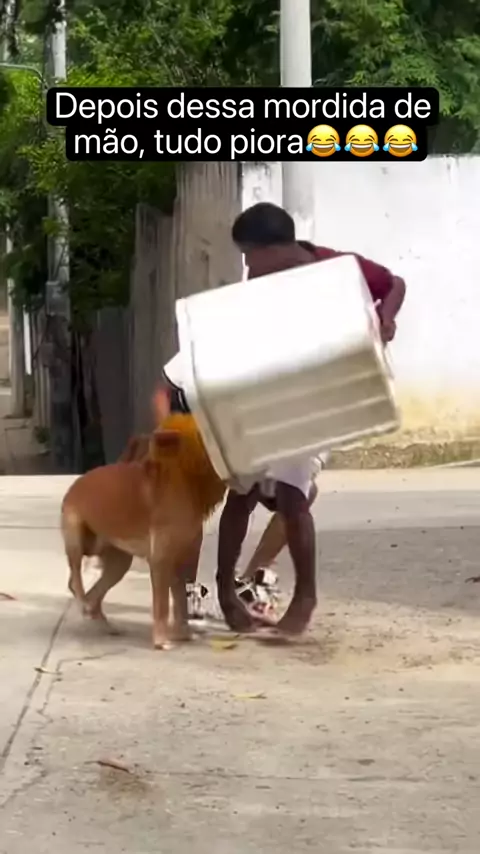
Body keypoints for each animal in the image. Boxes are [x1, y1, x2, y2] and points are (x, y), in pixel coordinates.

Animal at [61, 390, 226, 649]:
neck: (186, 477)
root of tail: (76, 484)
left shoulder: (183, 561)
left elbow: (180, 602)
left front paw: (183, 633)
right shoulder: (160, 560)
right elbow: (162, 605)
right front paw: (161, 640)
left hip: (119, 563)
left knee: (94, 595)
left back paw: (103, 623)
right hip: (77, 539)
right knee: (75, 579)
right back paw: (85, 605)